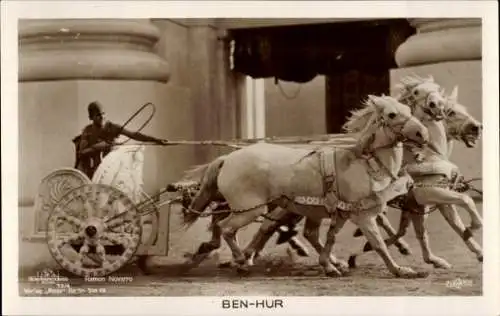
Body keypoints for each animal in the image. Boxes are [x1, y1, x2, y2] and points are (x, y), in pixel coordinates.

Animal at [182, 95, 428, 278]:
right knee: (225, 227)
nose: (422, 134)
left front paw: (330, 265)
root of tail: (227, 159)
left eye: (408, 108)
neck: (364, 163)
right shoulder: (363, 216)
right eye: (392, 114)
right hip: (251, 210)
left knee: (226, 226)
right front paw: (400, 270)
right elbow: (378, 244)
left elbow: (328, 238)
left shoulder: (339, 214)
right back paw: (241, 260)